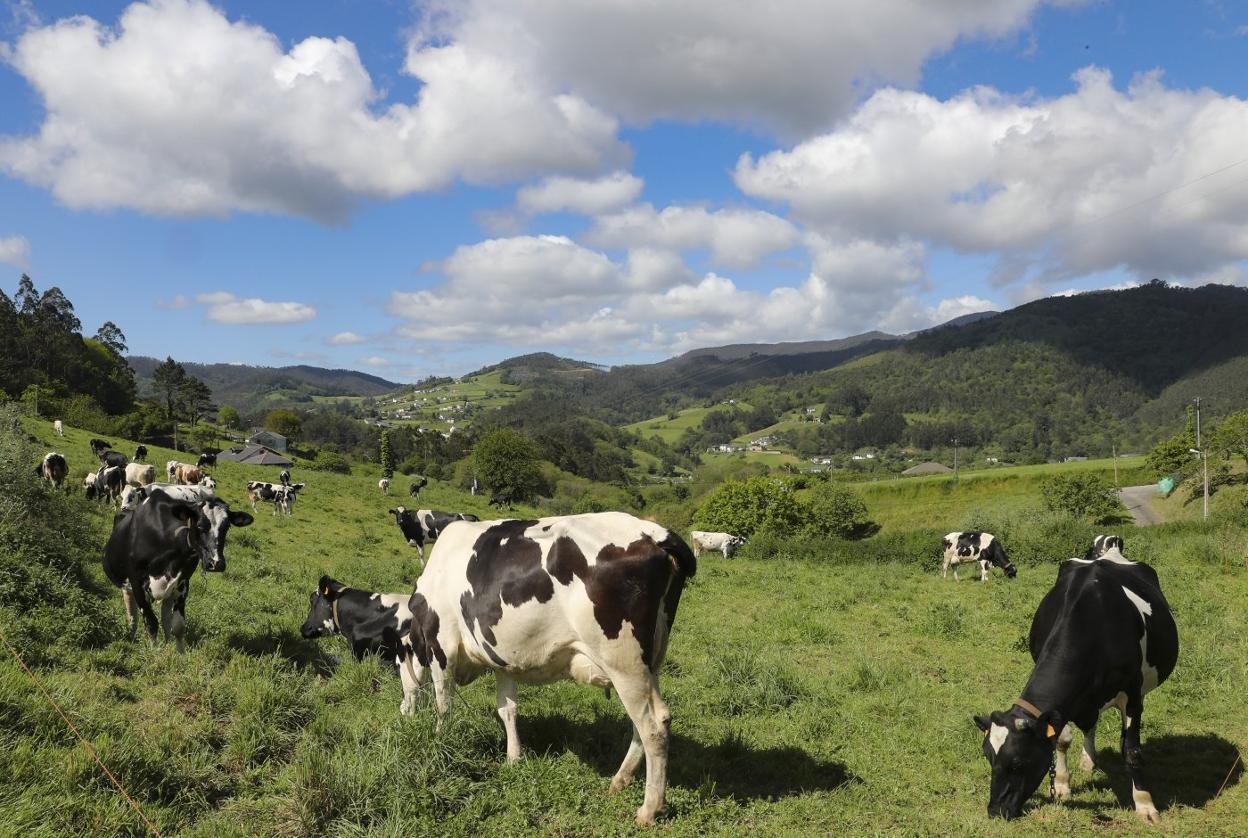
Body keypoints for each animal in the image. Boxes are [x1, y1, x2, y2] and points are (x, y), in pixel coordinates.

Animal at [104, 484, 255, 654]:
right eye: (200, 525)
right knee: (132, 614)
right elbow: (151, 622)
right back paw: (131, 636)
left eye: (227, 526)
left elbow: (178, 626)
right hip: (127, 585)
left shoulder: (182, 583)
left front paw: (179, 654)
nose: (217, 563)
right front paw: (154, 653)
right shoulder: (137, 582)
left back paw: (167, 642)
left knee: (165, 618)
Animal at [409, 512, 703, 824]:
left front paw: (440, 740)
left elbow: (444, 704)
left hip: (624, 662)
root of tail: (653, 532)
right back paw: (619, 780)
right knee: (642, 721)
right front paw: (514, 758)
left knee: (654, 725)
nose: (407, 713)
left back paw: (649, 809)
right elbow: (507, 708)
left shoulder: (442, 645)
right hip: (651, 662)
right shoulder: (502, 659)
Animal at [973, 547, 1178, 824]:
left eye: (1017, 762)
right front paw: (1061, 784)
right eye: (988, 756)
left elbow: (1132, 750)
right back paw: (1087, 760)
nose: (995, 811)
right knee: (1090, 723)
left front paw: (1145, 805)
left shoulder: (1133, 693)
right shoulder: (1065, 704)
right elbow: (1061, 739)